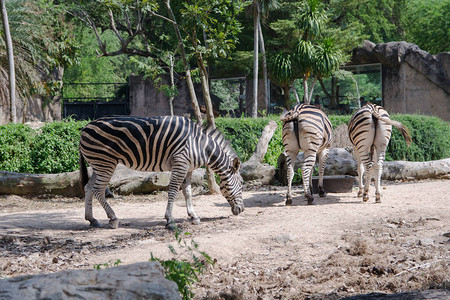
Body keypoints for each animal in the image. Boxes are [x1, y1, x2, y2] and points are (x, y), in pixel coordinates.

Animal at [79, 116, 244, 229]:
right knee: (98, 190)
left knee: (88, 187)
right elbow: (173, 191)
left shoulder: (188, 168)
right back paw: (113, 218)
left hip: (98, 164)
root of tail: (85, 127)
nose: (242, 210)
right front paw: (170, 220)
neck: (200, 145)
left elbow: (187, 192)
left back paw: (92, 219)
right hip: (106, 163)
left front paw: (193, 216)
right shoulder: (180, 164)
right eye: (242, 184)